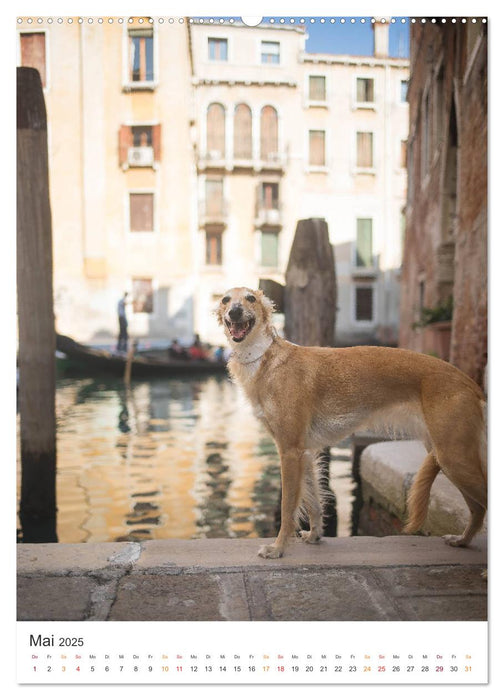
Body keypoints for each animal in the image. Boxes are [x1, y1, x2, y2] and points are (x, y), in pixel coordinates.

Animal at [215, 284, 486, 556]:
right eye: (225, 299)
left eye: (250, 298)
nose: (235, 312)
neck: (266, 359)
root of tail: (469, 383)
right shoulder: (304, 453)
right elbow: (314, 503)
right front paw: (314, 535)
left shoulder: (289, 451)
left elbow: (288, 507)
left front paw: (278, 548)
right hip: (447, 457)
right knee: (478, 508)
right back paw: (462, 540)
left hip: (454, 458)